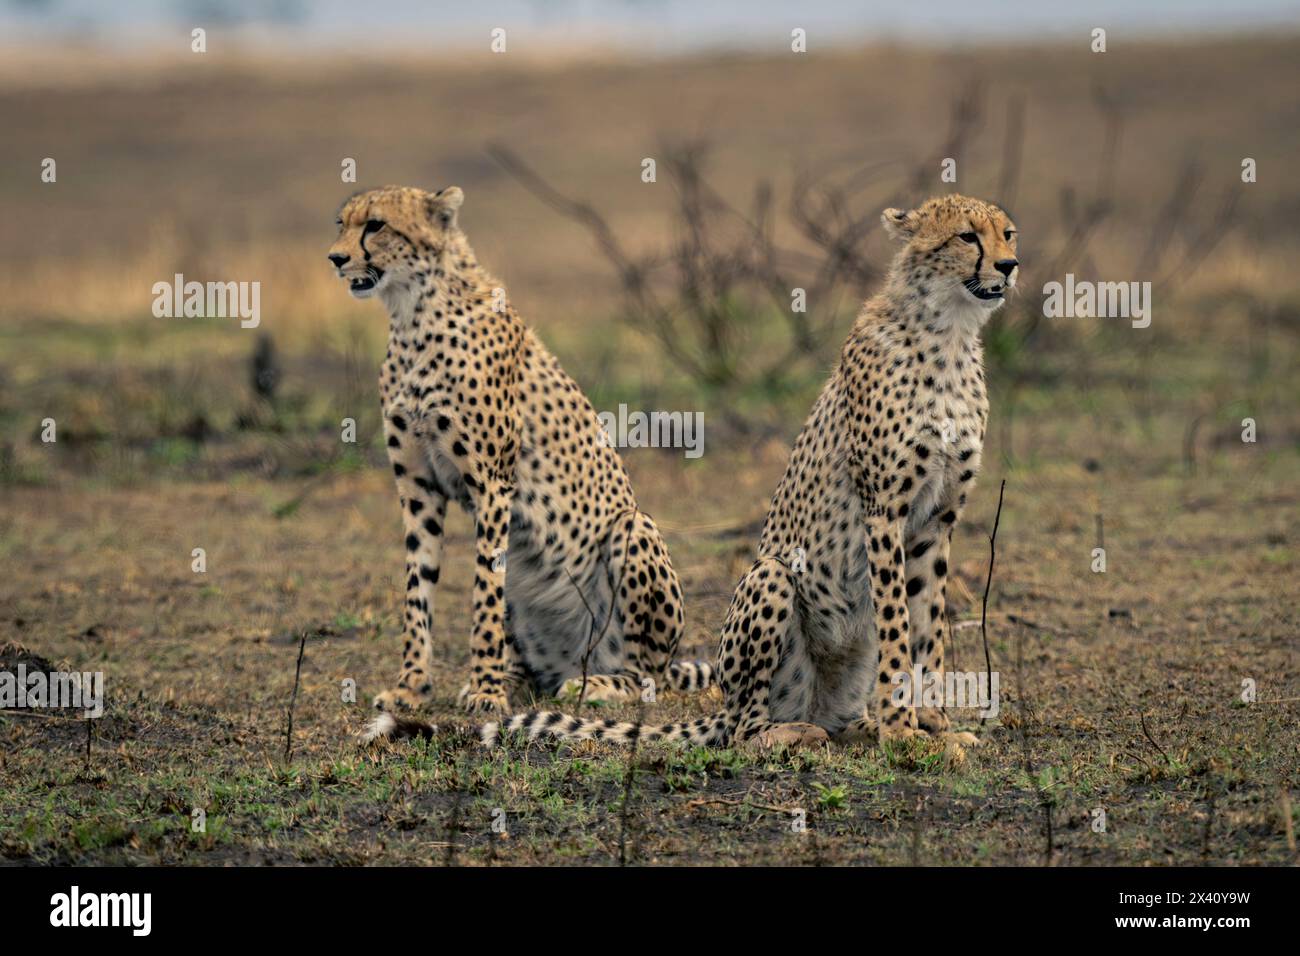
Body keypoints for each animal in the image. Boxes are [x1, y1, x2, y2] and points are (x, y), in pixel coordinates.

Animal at [325, 187, 712, 738]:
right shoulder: (418, 489)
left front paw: (485, 691)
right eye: (342, 223)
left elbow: (483, 593)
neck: (413, 315)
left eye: (376, 225)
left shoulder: (492, 484)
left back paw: (598, 684)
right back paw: (519, 675)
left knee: (646, 674)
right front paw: (412, 688)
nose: (335, 258)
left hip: (633, 529)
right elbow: (417, 590)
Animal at [483, 192, 1019, 754]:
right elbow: (897, 624)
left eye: (1008, 233)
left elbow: (926, 624)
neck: (949, 332)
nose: (1009, 265)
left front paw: (935, 724)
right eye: (967, 236)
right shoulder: (884, 512)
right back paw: (790, 732)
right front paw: (903, 732)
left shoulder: (936, 521)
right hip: (771, 578)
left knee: (832, 715)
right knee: (744, 729)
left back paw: (857, 726)